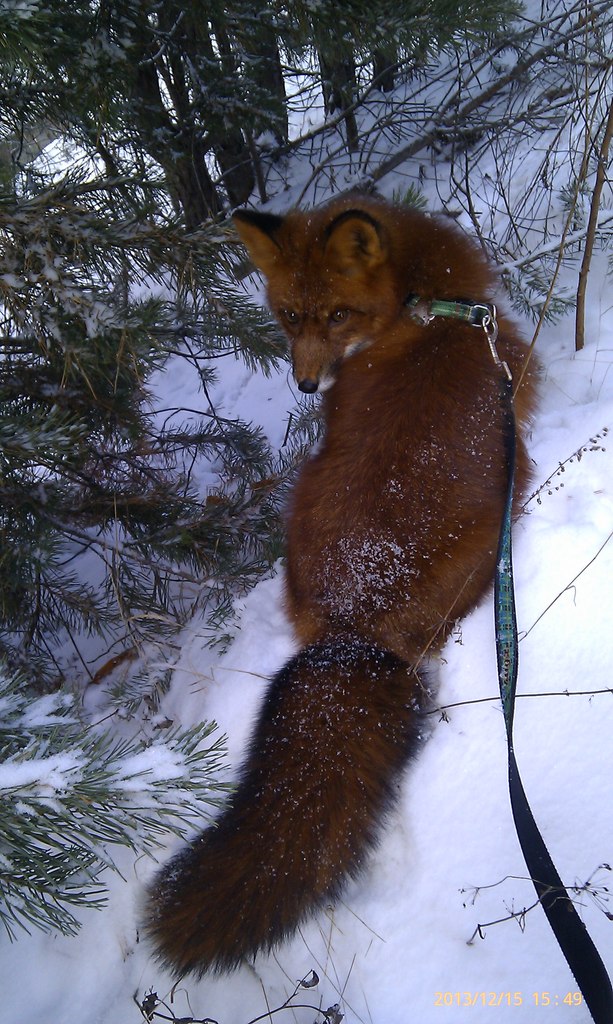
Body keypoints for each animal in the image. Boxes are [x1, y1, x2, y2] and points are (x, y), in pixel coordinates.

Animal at [142, 190, 536, 974]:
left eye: (335, 315)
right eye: (290, 316)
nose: (304, 383)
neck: (425, 308)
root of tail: (353, 626)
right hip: (502, 511)